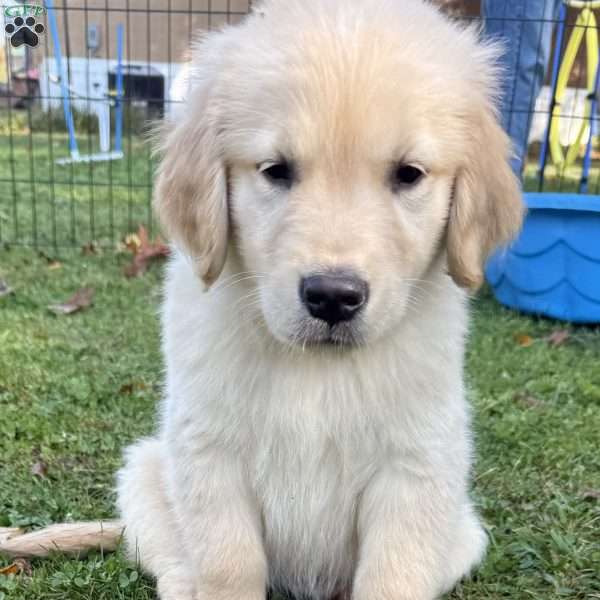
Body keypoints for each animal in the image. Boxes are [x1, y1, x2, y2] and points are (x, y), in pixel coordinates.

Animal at [116, 1, 520, 600]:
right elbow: (227, 563)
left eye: (409, 174)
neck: (317, 369)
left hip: (464, 531)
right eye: (275, 170)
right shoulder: (207, 451)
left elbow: (392, 576)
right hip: (143, 472)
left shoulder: (417, 466)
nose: (332, 297)